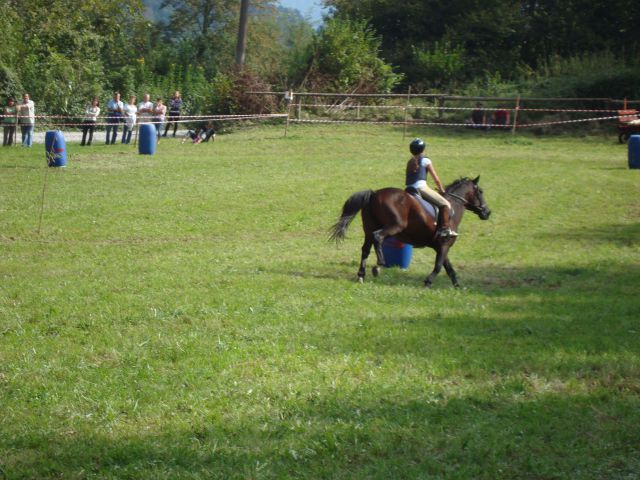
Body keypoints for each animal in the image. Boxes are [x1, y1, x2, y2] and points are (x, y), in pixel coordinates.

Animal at [330, 177, 490, 286]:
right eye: (481, 191)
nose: (487, 212)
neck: (453, 207)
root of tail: (374, 194)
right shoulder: (444, 244)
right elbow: (439, 266)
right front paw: (427, 283)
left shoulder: (440, 246)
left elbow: (449, 268)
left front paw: (457, 286)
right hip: (394, 226)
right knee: (378, 237)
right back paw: (379, 265)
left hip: (368, 229)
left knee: (365, 249)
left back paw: (361, 275)